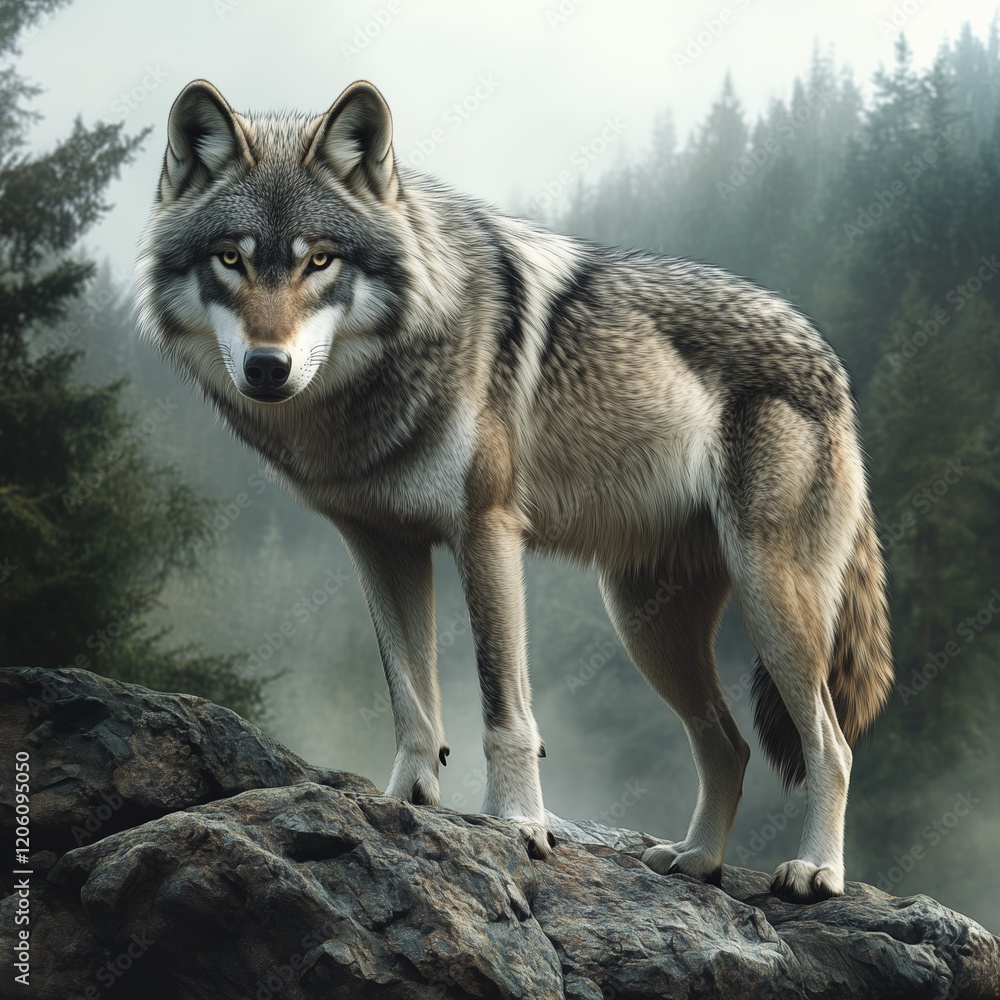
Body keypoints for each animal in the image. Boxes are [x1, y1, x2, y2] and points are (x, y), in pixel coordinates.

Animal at [137, 78, 893, 903]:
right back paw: (697, 861)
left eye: (321, 261)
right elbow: (412, 701)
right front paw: (406, 806)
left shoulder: (486, 530)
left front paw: (519, 826)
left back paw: (817, 870)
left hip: (770, 600)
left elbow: (506, 709)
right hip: (646, 624)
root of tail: (829, 359)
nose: (267, 367)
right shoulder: (383, 545)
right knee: (728, 743)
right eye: (231, 260)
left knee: (831, 744)